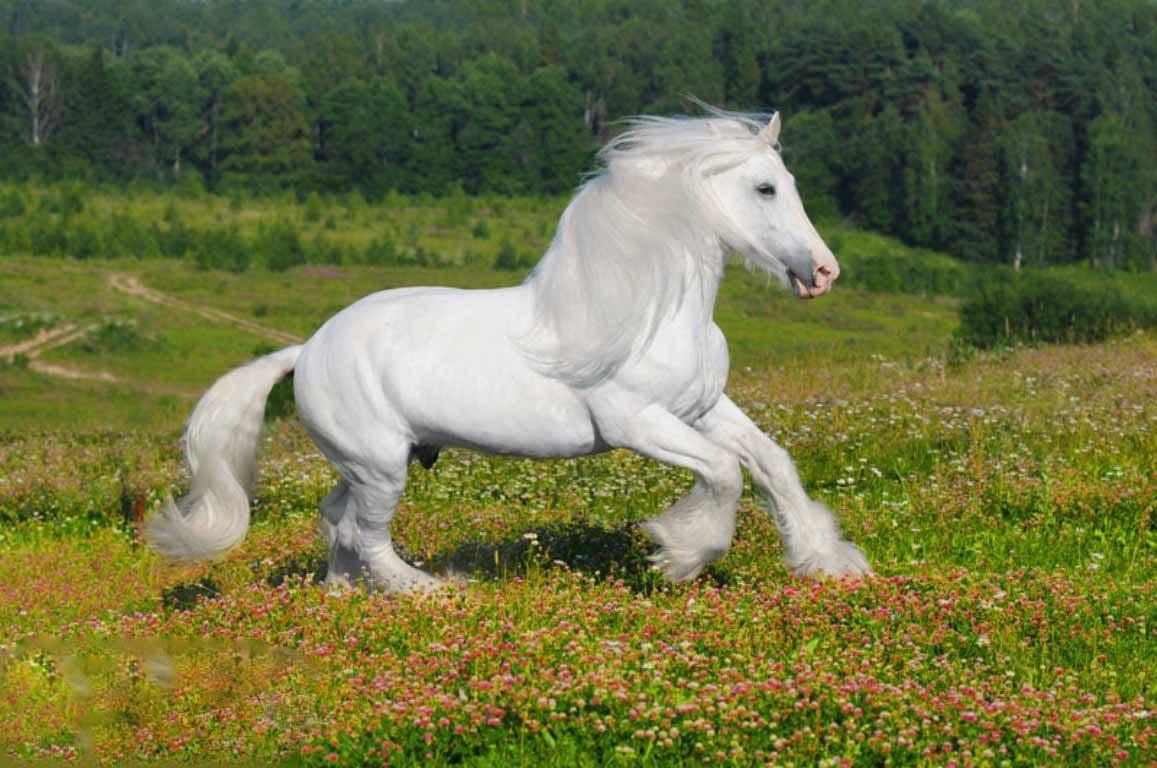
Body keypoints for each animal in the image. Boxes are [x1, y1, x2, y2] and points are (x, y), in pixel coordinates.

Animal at [146, 109, 872, 592]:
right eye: (764, 188)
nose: (823, 273)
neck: (648, 311)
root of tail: (304, 349)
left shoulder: (701, 409)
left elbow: (771, 464)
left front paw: (829, 563)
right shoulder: (637, 424)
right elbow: (723, 472)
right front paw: (677, 553)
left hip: (364, 463)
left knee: (334, 521)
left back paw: (344, 592)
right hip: (380, 466)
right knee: (364, 533)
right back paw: (428, 592)